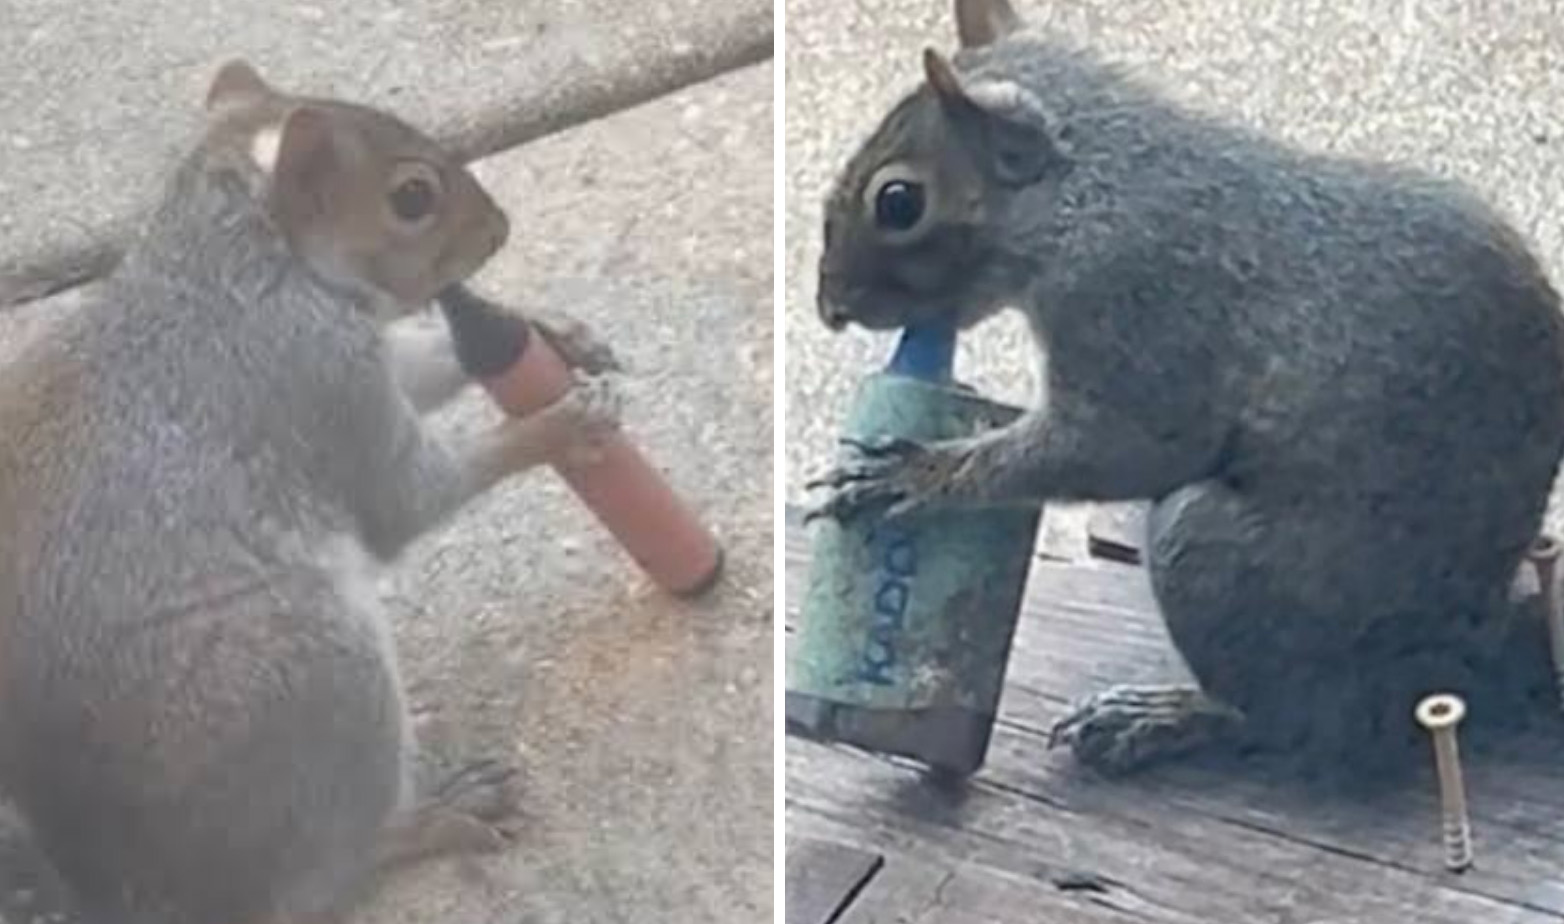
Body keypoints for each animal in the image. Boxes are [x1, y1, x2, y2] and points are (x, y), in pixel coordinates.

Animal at [0, 60, 619, 924]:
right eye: (412, 198)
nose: (501, 229)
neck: (247, 265)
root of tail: (137, 888)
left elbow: (436, 363)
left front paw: (553, 331)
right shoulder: (316, 382)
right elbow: (408, 497)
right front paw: (564, 422)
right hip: (314, 678)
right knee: (317, 877)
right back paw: (433, 816)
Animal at [809, 0, 1564, 783]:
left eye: (899, 201)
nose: (829, 307)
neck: (1089, 190)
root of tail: (1455, 654)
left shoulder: (1139, 311)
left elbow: (1126, 448)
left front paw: (917, 473)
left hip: (1209, 553)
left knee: (1293, 725)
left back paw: (1165, 716)